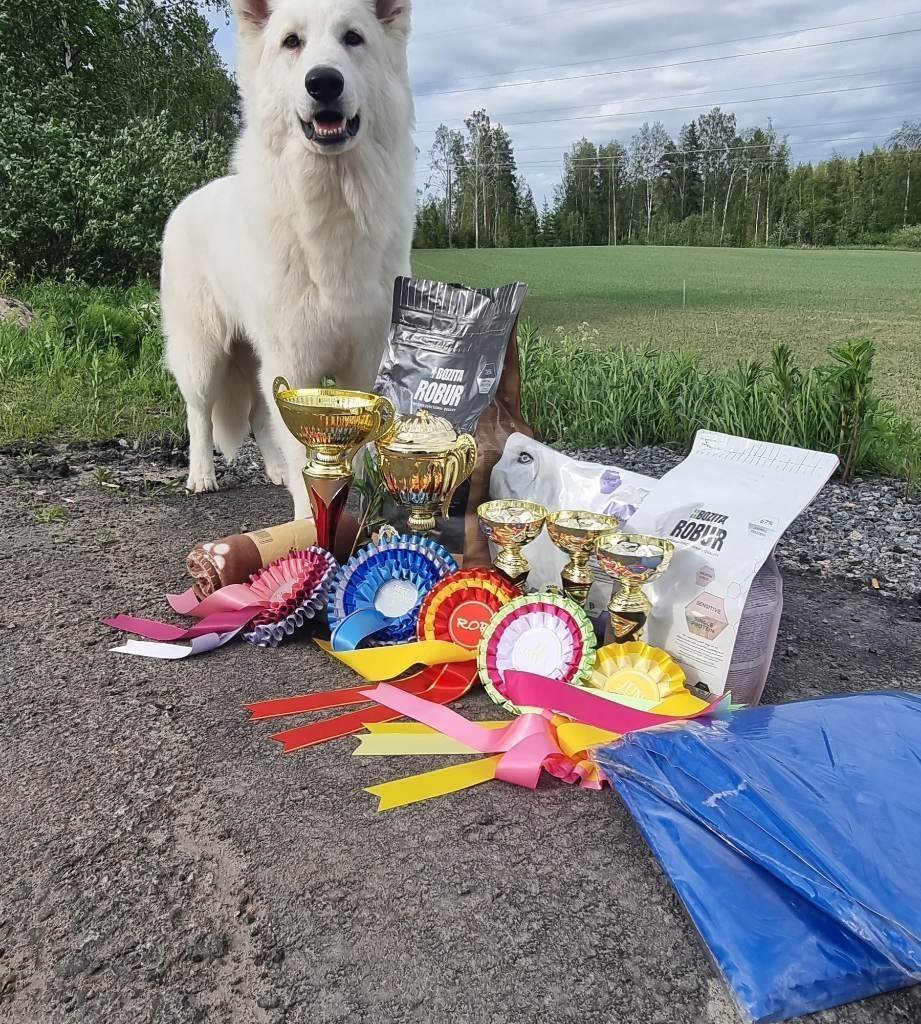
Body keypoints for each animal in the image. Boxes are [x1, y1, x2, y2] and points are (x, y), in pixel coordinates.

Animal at [161, 0, 415, 517]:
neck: (332, 199)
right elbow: (305, 458)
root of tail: (188, 201)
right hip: (204, 355)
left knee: (259, 413)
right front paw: (309, 525)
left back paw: (274, 469)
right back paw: (202, 475)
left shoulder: (363, 359)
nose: (323, 82)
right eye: (291, 42)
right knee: (200, 415)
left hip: (255, 357)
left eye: (353, 38)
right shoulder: (294, 362)